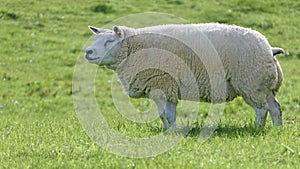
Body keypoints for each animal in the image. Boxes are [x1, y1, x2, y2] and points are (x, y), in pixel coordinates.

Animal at [85, 23, 284, 129]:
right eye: (95, 40)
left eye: (110, 41)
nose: (88, 51)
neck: (135, 48)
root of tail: (269, 48)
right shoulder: (167, 87)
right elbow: (166, 114)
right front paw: (169, 131)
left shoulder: (161, 84)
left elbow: (165, 114)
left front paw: (170, 132)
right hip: (263, 86)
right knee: (275, 107)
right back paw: (277, 129)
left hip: (251, 83)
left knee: (262, 109)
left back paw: (257, 128)